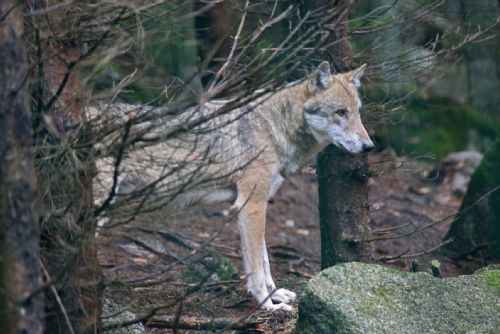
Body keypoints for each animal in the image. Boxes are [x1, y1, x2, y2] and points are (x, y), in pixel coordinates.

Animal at [92, 61, 374, 312]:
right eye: (340, 112)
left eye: (358, 111)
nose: (369, 146)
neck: (273, 128)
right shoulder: (251, 206)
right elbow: (257, 268)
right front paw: (267, 305)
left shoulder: (254, 205)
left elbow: (264, 260)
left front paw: (276, 294)